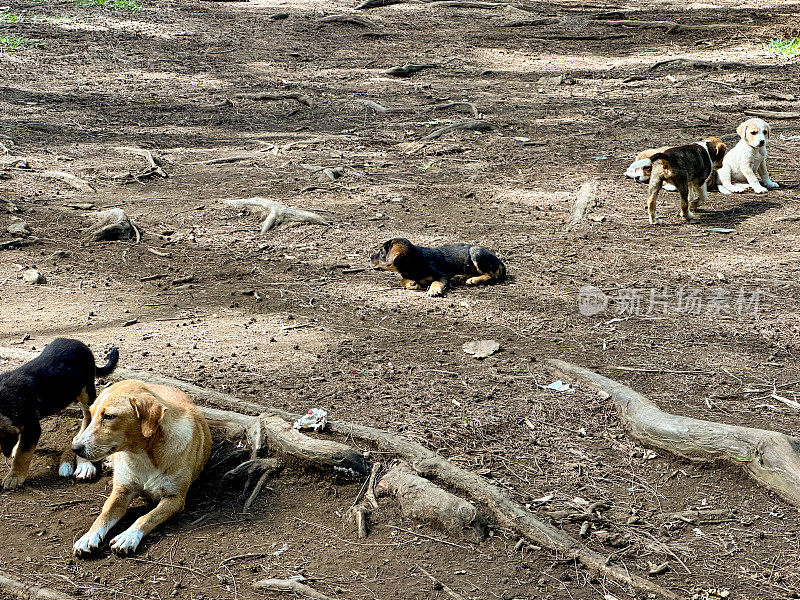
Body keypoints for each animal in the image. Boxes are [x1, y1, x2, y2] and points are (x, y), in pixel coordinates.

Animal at [0, 338, 119, 488]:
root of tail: (81, 345)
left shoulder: (32, 427)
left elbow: (23, 454)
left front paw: (13, 478)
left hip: (87, 391)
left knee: (89, 414)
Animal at [72, 380, 211, 556]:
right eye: (93, 413)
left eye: (109, 416)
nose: (76, 449)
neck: (141, 456)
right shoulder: (121, 492)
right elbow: (102, 516)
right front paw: (88, 537)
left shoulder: (175, 499)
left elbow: (146, 517)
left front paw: (128, 536)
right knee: (76, 436)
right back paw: (85, 467)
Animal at [370, 238, 506, 296]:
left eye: (381, 252)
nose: (369, 258)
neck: (414, 261)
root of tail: (500, 261)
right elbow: (402, 280)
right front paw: (411, 283)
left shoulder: (442, 275)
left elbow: (436, 281)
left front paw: (433, 290)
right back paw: (460, 277)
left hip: (475, 251)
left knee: (491, 275)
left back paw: (472, 280)